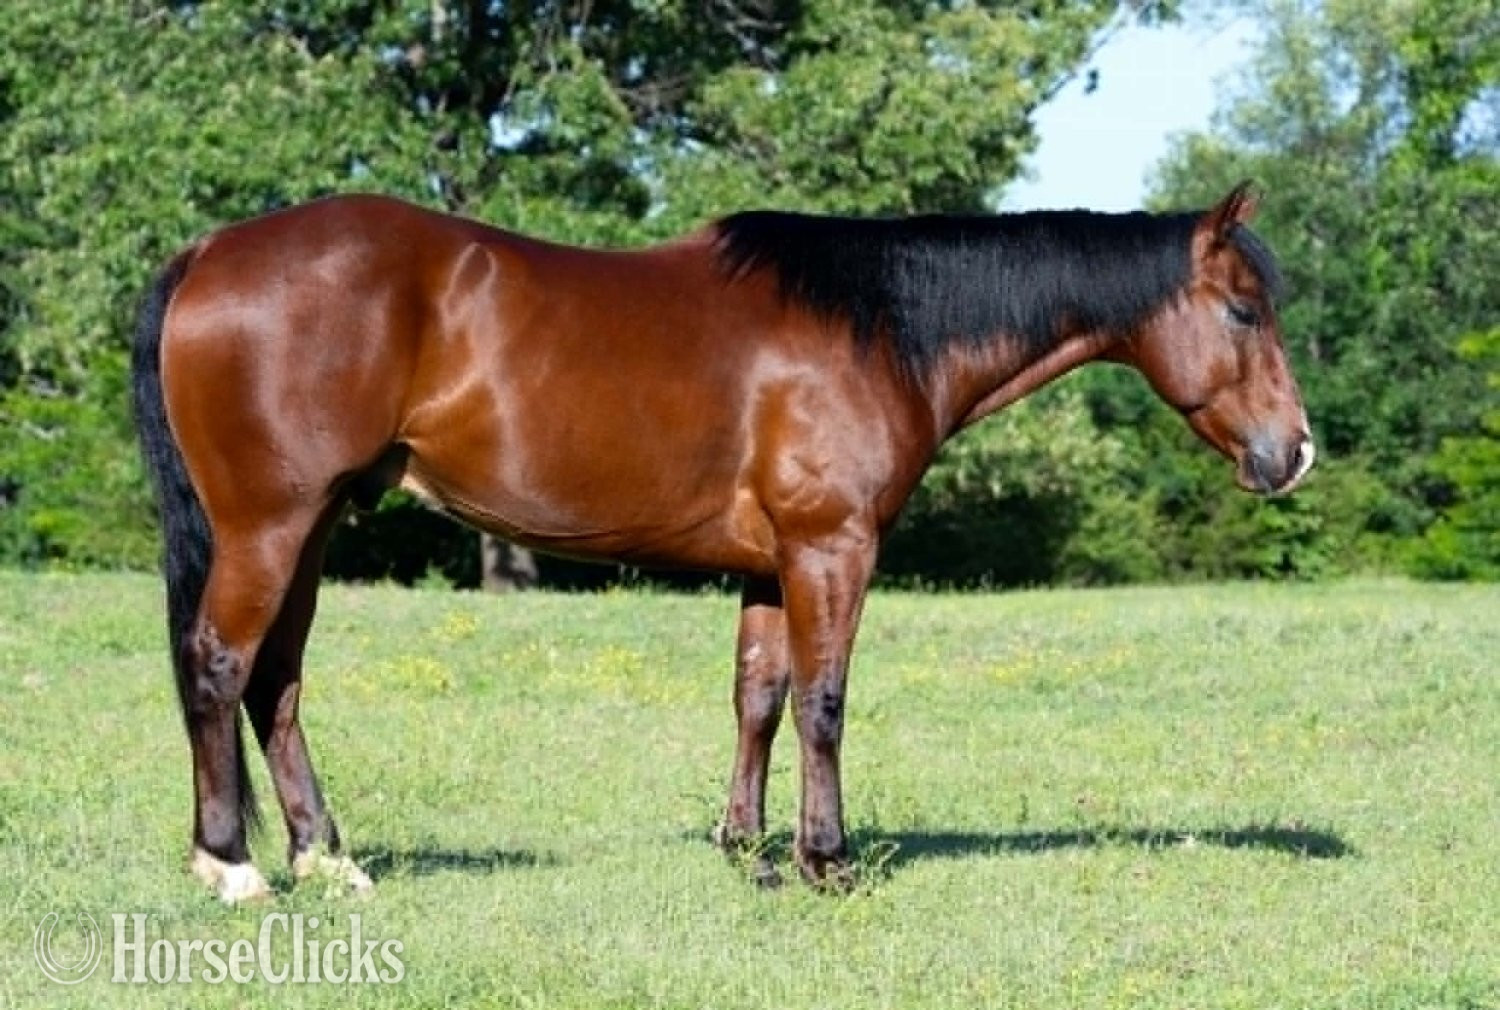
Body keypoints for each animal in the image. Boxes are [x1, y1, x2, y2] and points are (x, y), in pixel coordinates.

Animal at [131, 180, 1313, 901]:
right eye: (1244, 311)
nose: (1294, 452)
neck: (878, 327)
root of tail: (209, 251)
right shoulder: (832, 550)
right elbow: (825, 702)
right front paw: (827, 859)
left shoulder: (769, 564)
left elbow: (759, 697)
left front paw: (746, 847)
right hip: (271, 524)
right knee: (221, 664)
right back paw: (232, 864)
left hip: (316, 525)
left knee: (276, 681)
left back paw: (327, 859)